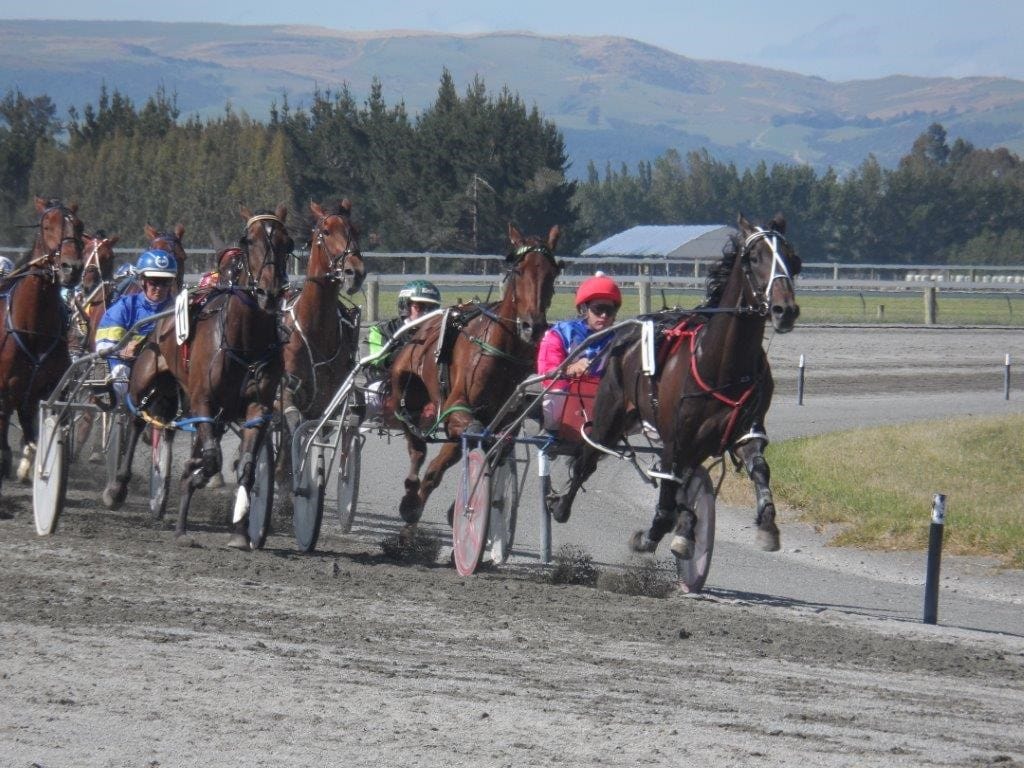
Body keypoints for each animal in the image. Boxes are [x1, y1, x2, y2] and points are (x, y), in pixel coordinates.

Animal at [0, 195, 83, 489]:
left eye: (80, 226)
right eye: (47, 226)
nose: (72, 268)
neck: (32, 328)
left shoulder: (46, 388)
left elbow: (37, 435)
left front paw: (32, 467)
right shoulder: (4, 388)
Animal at [102, 202, 292, 548]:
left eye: (289, 243)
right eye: (249, 240)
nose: (269, 293)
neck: (245, 339)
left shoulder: (257, 407)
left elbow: (246, 467)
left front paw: (241, 531)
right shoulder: (204, 400)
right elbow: (211, 458)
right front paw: (194, 474)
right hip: (146, 377)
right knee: (136, 419)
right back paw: (119, 489)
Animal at [278, 198, 366, 473]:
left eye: (355, 230)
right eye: (326, 232)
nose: (355, 272)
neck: (315, 330)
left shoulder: (327, 401)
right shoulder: (288, 392)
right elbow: (292, 430)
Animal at [385, 224, 565, 528]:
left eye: (551, 272)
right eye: (518, 270)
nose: (533, 326)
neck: (504, 352)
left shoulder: (506, 418)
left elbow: (497, 444)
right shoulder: (457, 407)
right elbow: (472, 436)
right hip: (405, 388)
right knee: (416, 442)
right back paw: (411, 497)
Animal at [552, 214, 798, 569]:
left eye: (793, 259)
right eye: (754, 258)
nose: (784, 310)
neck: (720, 364)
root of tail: (622, 338)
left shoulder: (744, 431)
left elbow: (759, 469)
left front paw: (767, 525)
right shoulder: (677, 440)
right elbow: (668, 498)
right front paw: (653, 536)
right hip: (609, 417)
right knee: (587, 457)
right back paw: (560, 504)